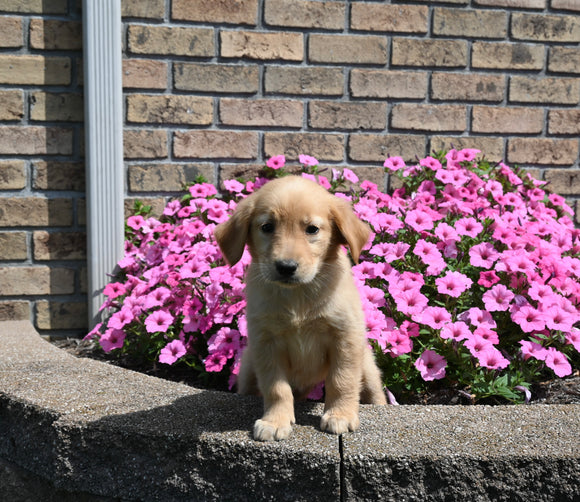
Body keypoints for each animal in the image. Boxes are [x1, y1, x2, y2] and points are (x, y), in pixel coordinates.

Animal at [213, 175, 386, 442]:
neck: (298, 296)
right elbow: (276, 388)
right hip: (248, 367)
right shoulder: (266, 344)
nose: (286, 267)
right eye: (267, 227)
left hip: (367, 366)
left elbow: (342, 380)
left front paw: (340, 415)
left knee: (374, 392)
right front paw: (275, 421)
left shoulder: (345, 338)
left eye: (312, 229)